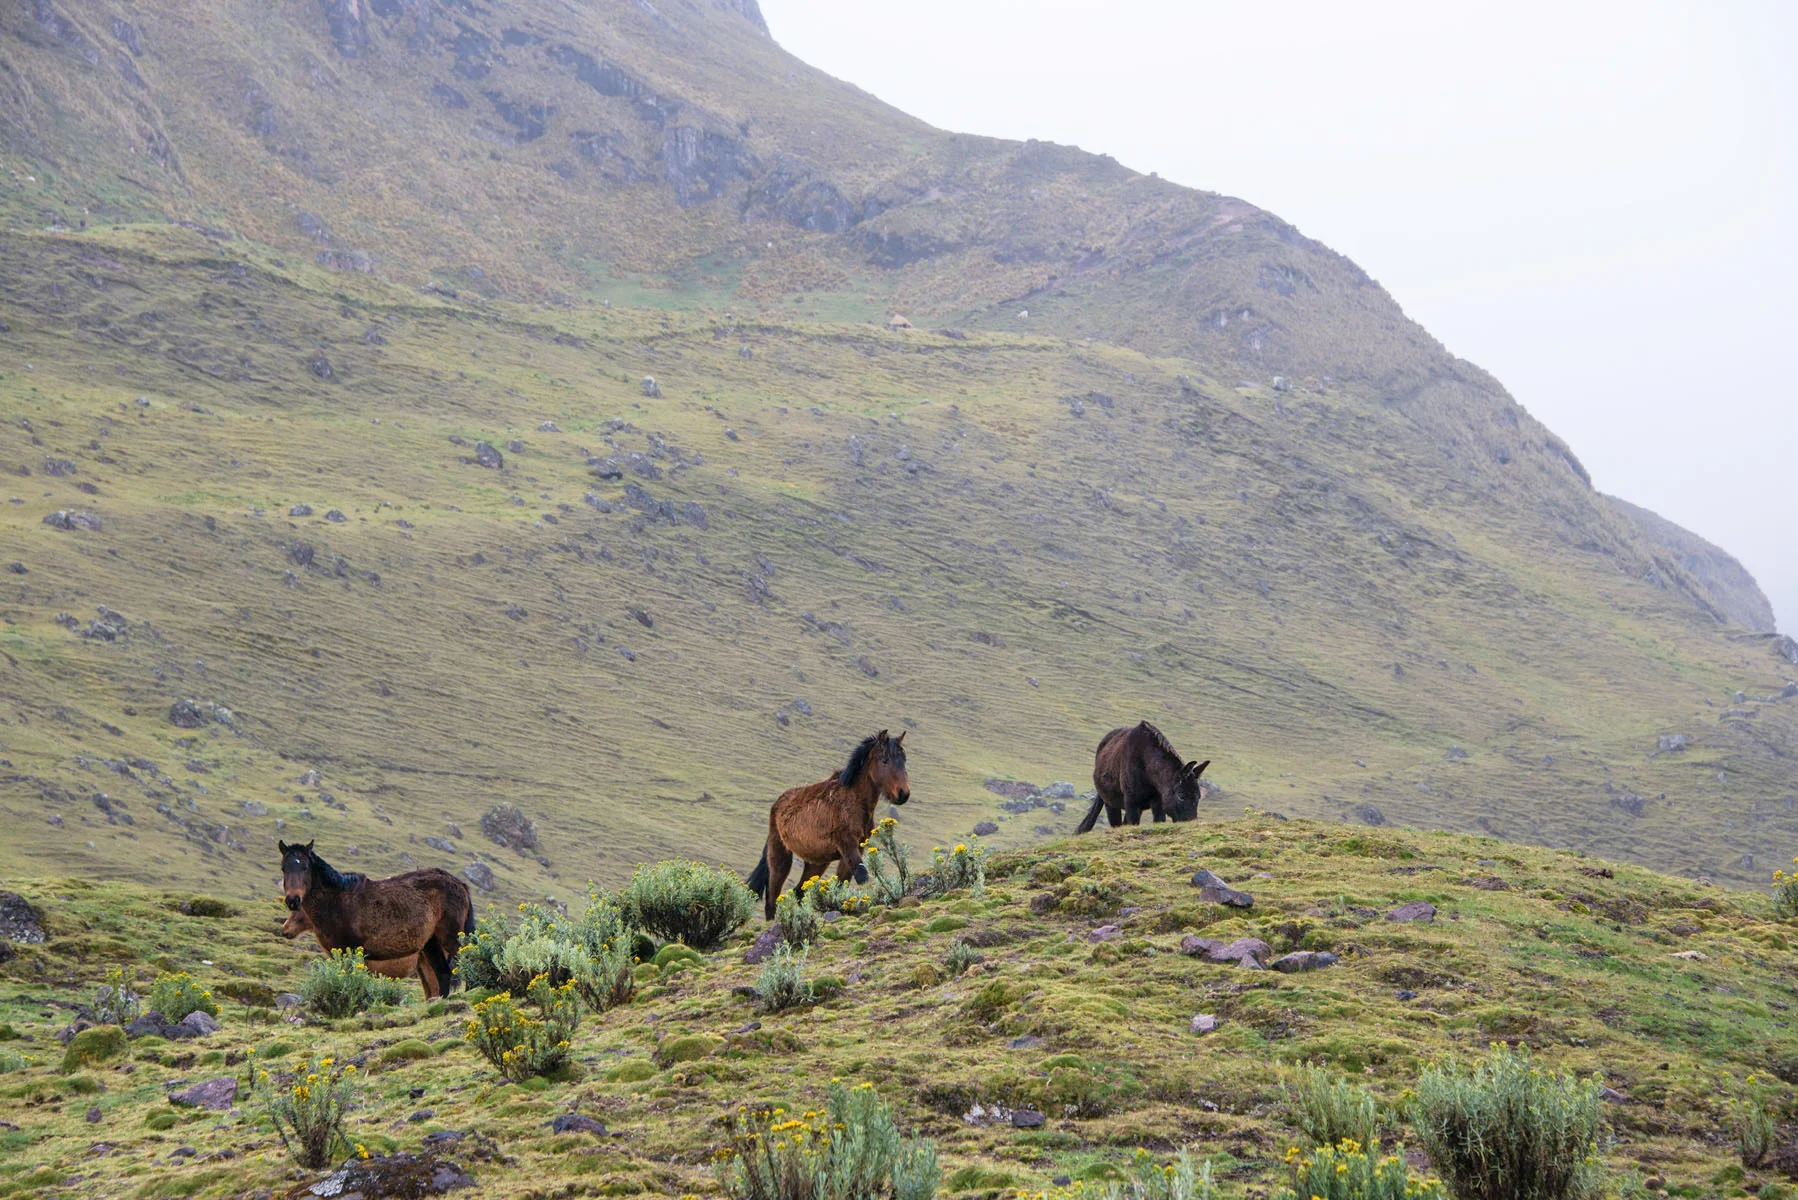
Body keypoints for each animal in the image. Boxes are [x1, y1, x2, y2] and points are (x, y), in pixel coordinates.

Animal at [277, 841, 476, 998]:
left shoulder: (351, 952)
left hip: (450, 939)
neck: (337, 902)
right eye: (284, 868)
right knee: (443, 974)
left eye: (305, 867)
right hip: (431, 945)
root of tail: (460, 884)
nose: (293, 900)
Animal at [746, 730, 911, 920]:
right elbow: (862, 876)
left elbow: (842, 883)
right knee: (772, 898)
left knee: (798, 892)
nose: (903, 794)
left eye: (903, 760)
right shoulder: (847, 846)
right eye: (884, 760)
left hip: (816, 862)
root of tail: (777, 804)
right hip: (780, 856)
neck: (853, 800)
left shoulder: (854, 850)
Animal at [1076, 721, 1209, 833]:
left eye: (1199, 796)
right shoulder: (1131, 803)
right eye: (1181, 794)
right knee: (1116, 824)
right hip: (1111, 804)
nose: (1190, 823)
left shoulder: (1158, 803)